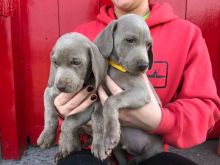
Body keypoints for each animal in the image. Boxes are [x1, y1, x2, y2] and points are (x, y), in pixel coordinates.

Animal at [36, 32, 106, 162]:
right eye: (55, 62)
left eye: (76, 62)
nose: (60, 86)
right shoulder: (48, 92)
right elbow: (50, 114)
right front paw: (47, 136)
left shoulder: (88, 105)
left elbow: (69, 121)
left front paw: (63, 143)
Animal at [94, 14, 163, 164]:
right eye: (130, 40)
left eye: (148, 44)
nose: (144, 65)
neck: (116, 67)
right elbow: (99, 112)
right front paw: (100, 143)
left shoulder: (141, 91)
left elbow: (110, 101)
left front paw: (110, 135)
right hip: (119, 151)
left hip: (152, 151)